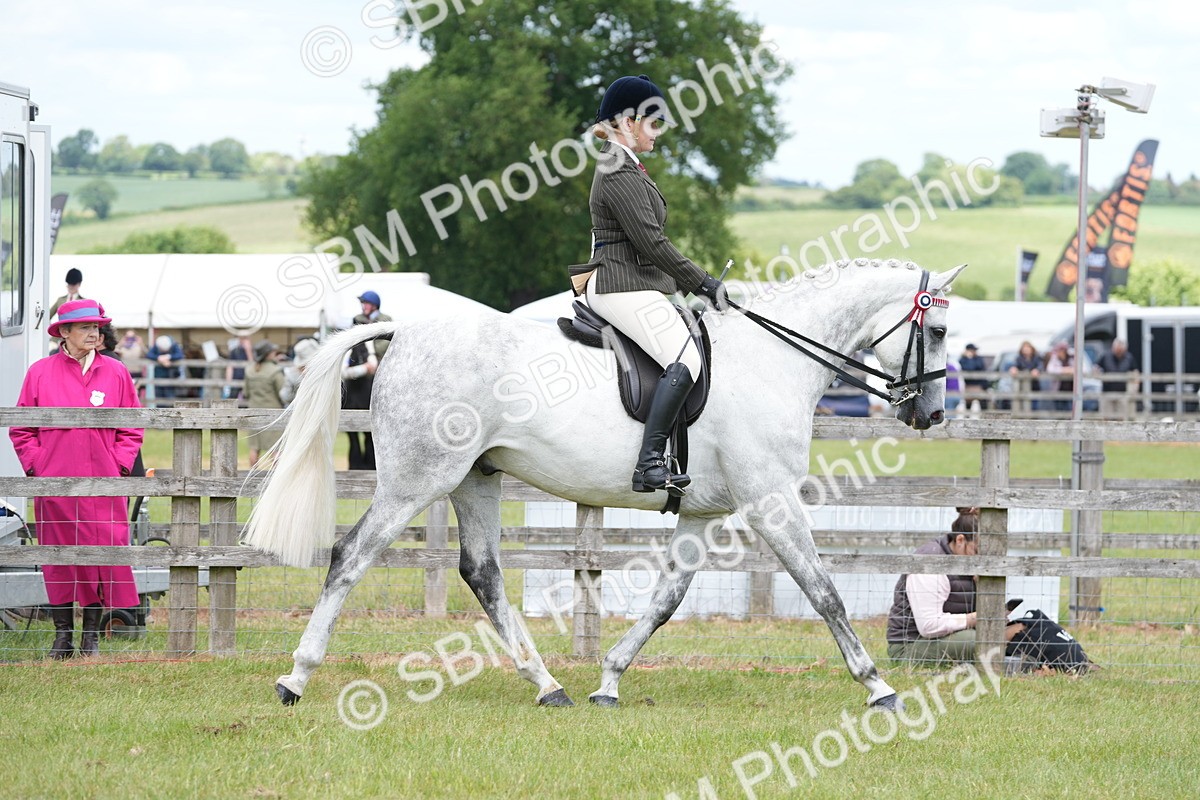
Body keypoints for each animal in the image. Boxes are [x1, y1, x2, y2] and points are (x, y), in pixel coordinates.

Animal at [245, 258, 966, 710]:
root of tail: (405, 331)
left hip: (475, 478)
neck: (774, 359)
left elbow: (666, 600)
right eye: (937, 329)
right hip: (417, 479)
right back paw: (295, 678)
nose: (930, 414)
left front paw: (610, 680)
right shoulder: (771, 500)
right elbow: (824, 592)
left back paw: (547, 686)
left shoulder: (702, 514)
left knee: (482, 573)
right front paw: (878, 687)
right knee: (351, 557)